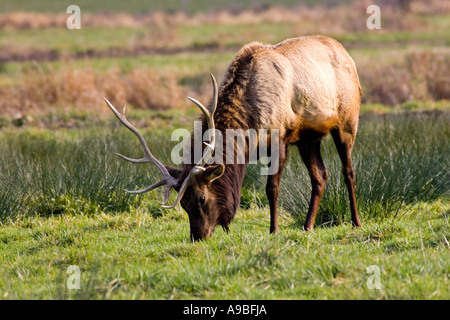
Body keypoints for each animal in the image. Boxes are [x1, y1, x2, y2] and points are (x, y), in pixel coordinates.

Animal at [105, 35, 362, 240]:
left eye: (201, 199)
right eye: (183, 204)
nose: (197, 237)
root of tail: (346, 53)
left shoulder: (280, 138)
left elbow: (271, 188)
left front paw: (273, 230)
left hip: (348, 121)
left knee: (348, 171)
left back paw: (356, 222)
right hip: (309, 138)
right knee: (320, 176)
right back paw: (308, 226)